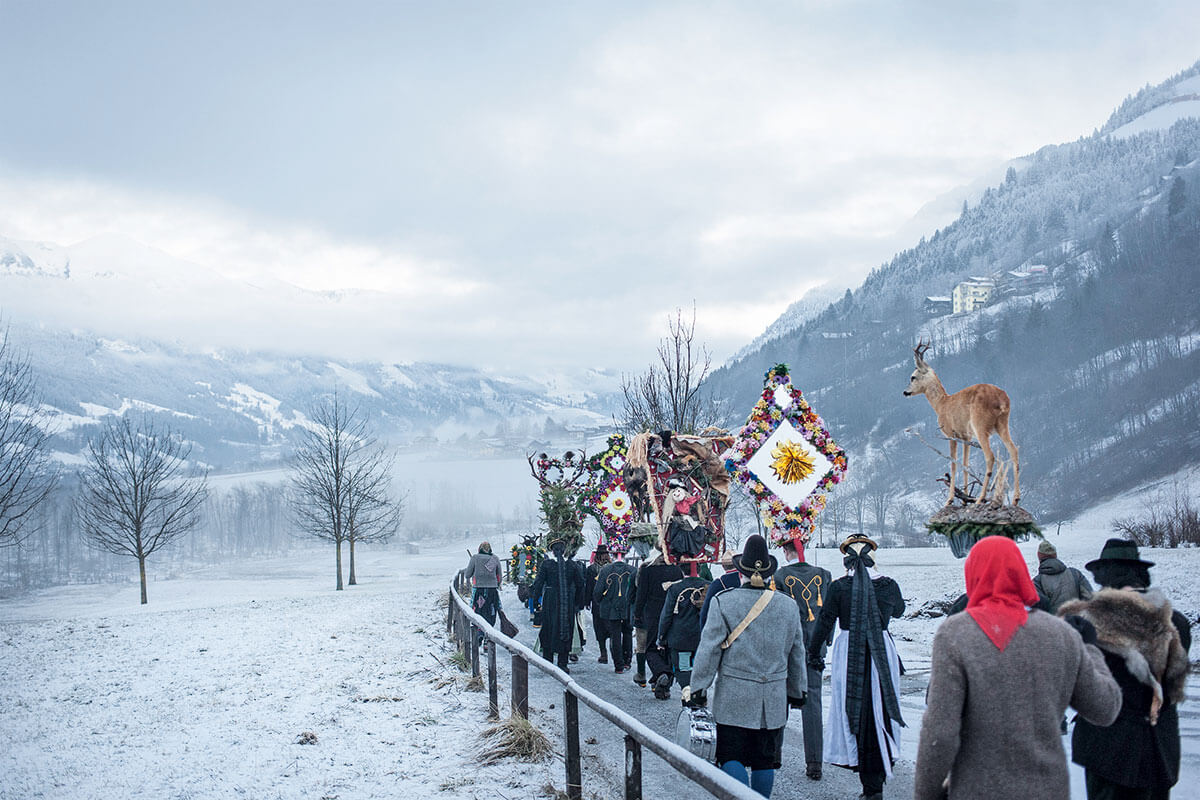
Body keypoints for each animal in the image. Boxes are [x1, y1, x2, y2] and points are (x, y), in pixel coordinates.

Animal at [902, 345, 1017, 506]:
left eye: (913, 376)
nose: (905, 392)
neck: (941, 404)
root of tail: (1002, 401)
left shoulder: (951, 434)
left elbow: (954, 464)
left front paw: (950, 499)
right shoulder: (966, 436)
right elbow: (965, 464)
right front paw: (964, 499)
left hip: (979, 424)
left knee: (990, 456)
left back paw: (980, 498)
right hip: (1003, 424)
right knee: (1014, 450)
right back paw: (1015, 499)